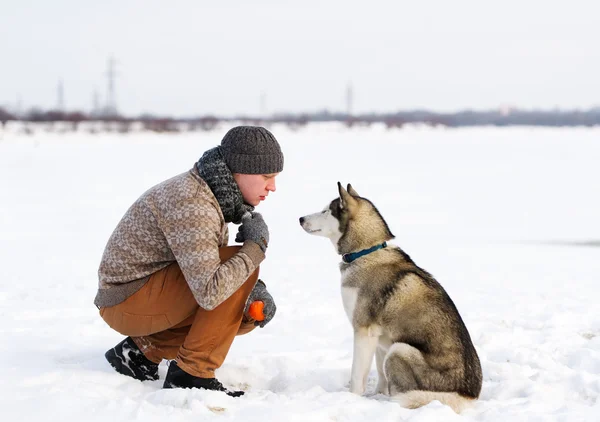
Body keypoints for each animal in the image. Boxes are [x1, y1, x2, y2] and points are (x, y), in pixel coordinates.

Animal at [300, 182, 482, 412]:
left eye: (325, 211)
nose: (300, 219)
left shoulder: (363, 331)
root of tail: (467, 395)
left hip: (399, 350)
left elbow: (357, 376)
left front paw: (352, 400)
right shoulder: (378, 336)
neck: (365, 252)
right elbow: (380, 374)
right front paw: (377, 395)